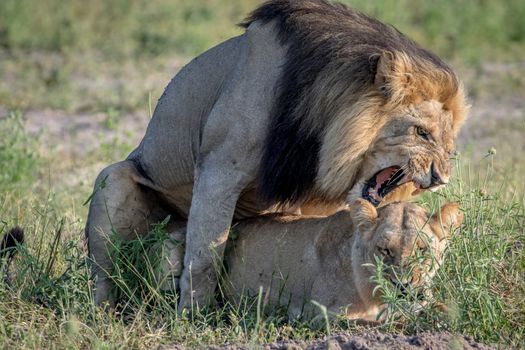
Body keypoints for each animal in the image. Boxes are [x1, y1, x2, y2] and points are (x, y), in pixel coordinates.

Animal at [85, 0, 466, 308]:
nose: (441, 178)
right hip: (112, 180)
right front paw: (192, 317)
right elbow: (205, 254)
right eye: (421, 132)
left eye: (449, 146)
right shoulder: (219, 168)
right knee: (103, 276)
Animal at [152, 201, 462, 322]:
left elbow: (444, 307)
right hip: (173, 246)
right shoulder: (320, 315)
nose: (404, 286)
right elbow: (374, 322)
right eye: (384, 250)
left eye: (423, 250)